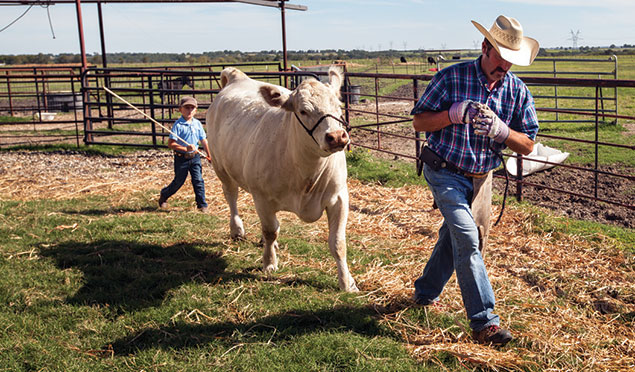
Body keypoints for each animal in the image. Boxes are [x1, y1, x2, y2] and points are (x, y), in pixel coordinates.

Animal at [207, 68, 360, 292]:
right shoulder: (262, 197)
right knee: (232, 196)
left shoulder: (339, 198)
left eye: (338, 105)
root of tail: (238, 77)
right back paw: (237, 229)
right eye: (303, 111)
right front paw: (269, 263)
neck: (307, 173)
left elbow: (338, 243)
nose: (337, 136)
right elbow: (271, 231)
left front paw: (346, 282)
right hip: (221, 167)